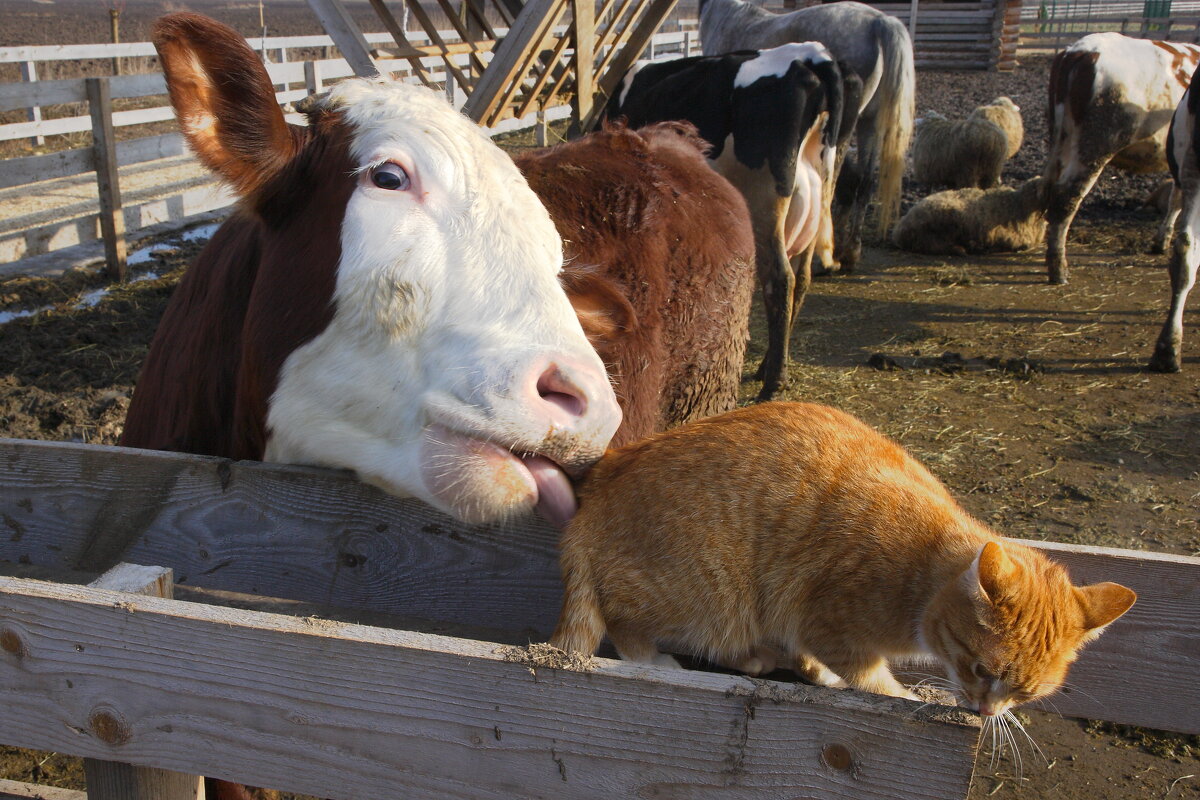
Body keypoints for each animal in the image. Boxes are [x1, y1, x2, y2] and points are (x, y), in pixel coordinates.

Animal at [552, 402, 1132, 714]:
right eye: (980, 668)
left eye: (1026, 693)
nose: (986, 711)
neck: (924, 579)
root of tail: (602, 481)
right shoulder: (829, 623)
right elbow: (871, 677)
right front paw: (908, 697)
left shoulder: (799, 621)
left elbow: (814, 658)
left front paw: (815, 673)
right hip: (708, 594)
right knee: (624, 623)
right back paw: (656, 660)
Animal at [604, 43, 859, 400]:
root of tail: (812, 55)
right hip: (819, 193)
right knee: (803, 278)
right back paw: (768, 366)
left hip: (764, 198)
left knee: (780, 279)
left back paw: (773, 384)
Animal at [892, 178, 1051, 256]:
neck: (1019, 204)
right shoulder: (1008, 236)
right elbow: (1023, 245)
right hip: (944, 221)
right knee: (934, 245)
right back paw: (967, 248)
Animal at [1041, 33, 1200, 284]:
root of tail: (1083, 51)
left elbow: (1175, 200)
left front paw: (1161, 241)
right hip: (1094, 146)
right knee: (1066, 198)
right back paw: (1059, 269)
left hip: (1060, 141)